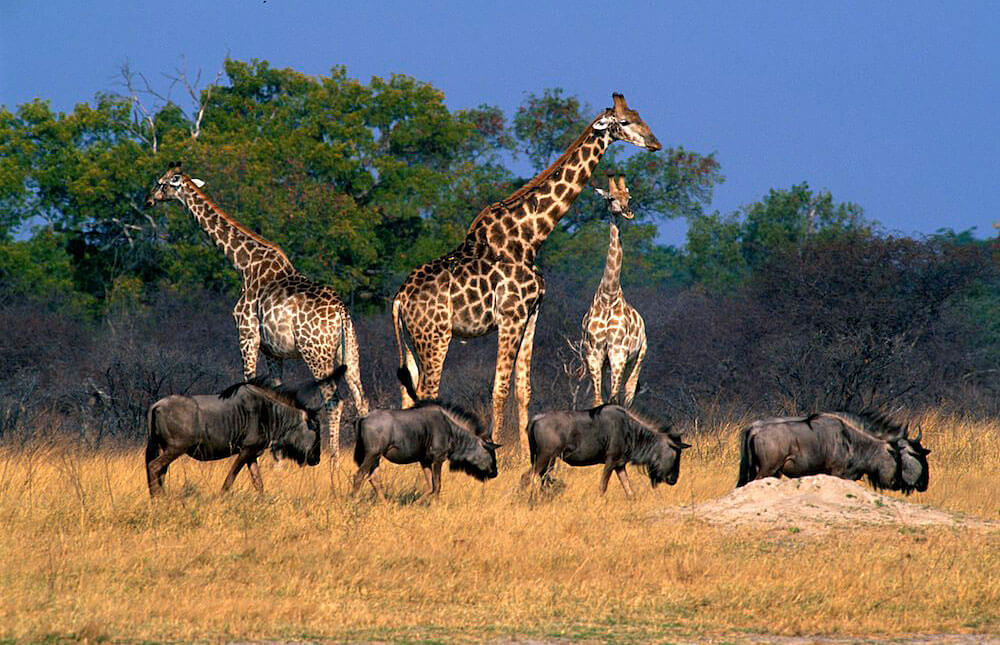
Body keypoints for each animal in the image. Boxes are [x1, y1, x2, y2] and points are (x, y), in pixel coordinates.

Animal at [144, 164, 369, 465]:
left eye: (162, 183)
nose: (149, 200)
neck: (245, 265)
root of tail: (342, 312)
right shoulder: (273, 351)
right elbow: (277, 393)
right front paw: (277, 460)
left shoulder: (246, 335)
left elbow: (250, 386)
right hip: (350, 352)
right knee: (360, 399)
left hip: (316, 352)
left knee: (334, 400)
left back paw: (333, 462)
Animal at [581, 175, 648, 408]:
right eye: (611, 198)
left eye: (629, 196)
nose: (628, 212)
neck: (608, 296)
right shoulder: (594, 353)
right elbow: (598, 400)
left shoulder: (619, 351)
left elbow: (614, 399)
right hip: (608, 363)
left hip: (637, 356)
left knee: (627, 394)